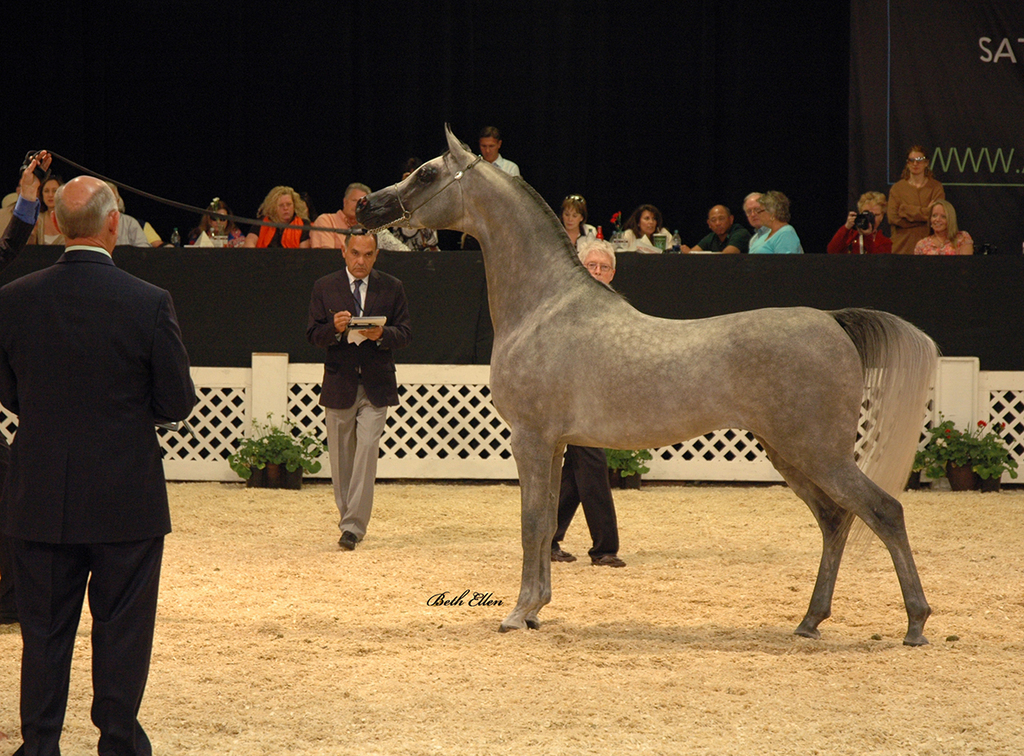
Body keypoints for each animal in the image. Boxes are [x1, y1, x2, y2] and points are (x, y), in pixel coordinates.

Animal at [357, 126, 938, 646]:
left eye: (426, 172)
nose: (366, 207)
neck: (544, 307)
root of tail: (833, 321)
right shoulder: (555, 445)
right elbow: (545, 523)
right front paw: (538, 609)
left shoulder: (531, 439)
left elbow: (531, 522)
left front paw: (518, 614)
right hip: (790, 454)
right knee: (836, 520)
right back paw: (810, 621)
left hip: (817, 452)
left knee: (884, 512)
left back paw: (914, 624)